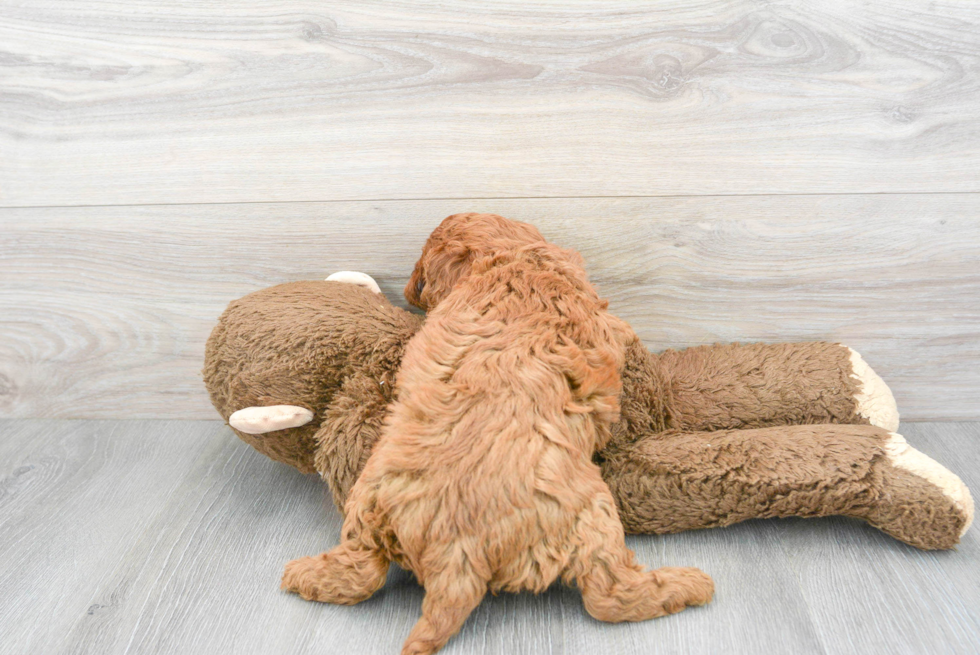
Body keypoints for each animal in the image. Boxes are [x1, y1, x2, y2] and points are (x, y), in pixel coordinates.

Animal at [282, 215, 712, 655]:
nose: (408, 291)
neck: (510, 259)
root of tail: (455, 556)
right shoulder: (610, 328)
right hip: (593, 515)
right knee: (608, 595)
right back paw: (685, 585)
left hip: (367, 501)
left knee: (359, 571)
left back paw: (304, 575)